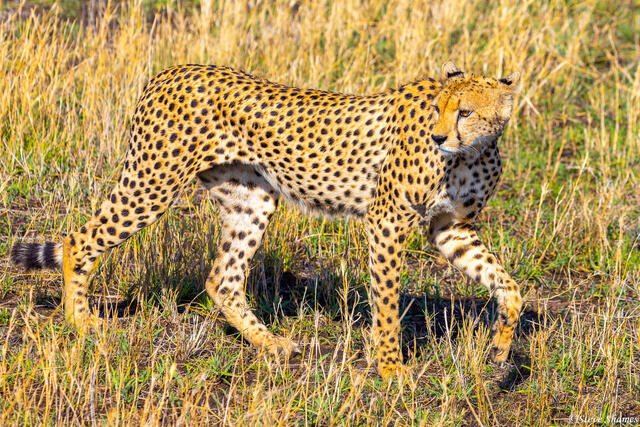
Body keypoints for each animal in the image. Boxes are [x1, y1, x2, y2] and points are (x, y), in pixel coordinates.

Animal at [11, 61, 523, 379]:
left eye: (465, 111)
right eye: (438, 109)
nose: (438, 137)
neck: (472, 153)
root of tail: (173, 70)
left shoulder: (449, 229)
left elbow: (509, 286)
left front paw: (500, 351)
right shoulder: (386, 221)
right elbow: (387, 303)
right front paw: (392, 369)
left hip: (251, 200)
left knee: (222, 279)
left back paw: (272, 344)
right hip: (151, 184)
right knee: (79, 240)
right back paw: (80, 322)